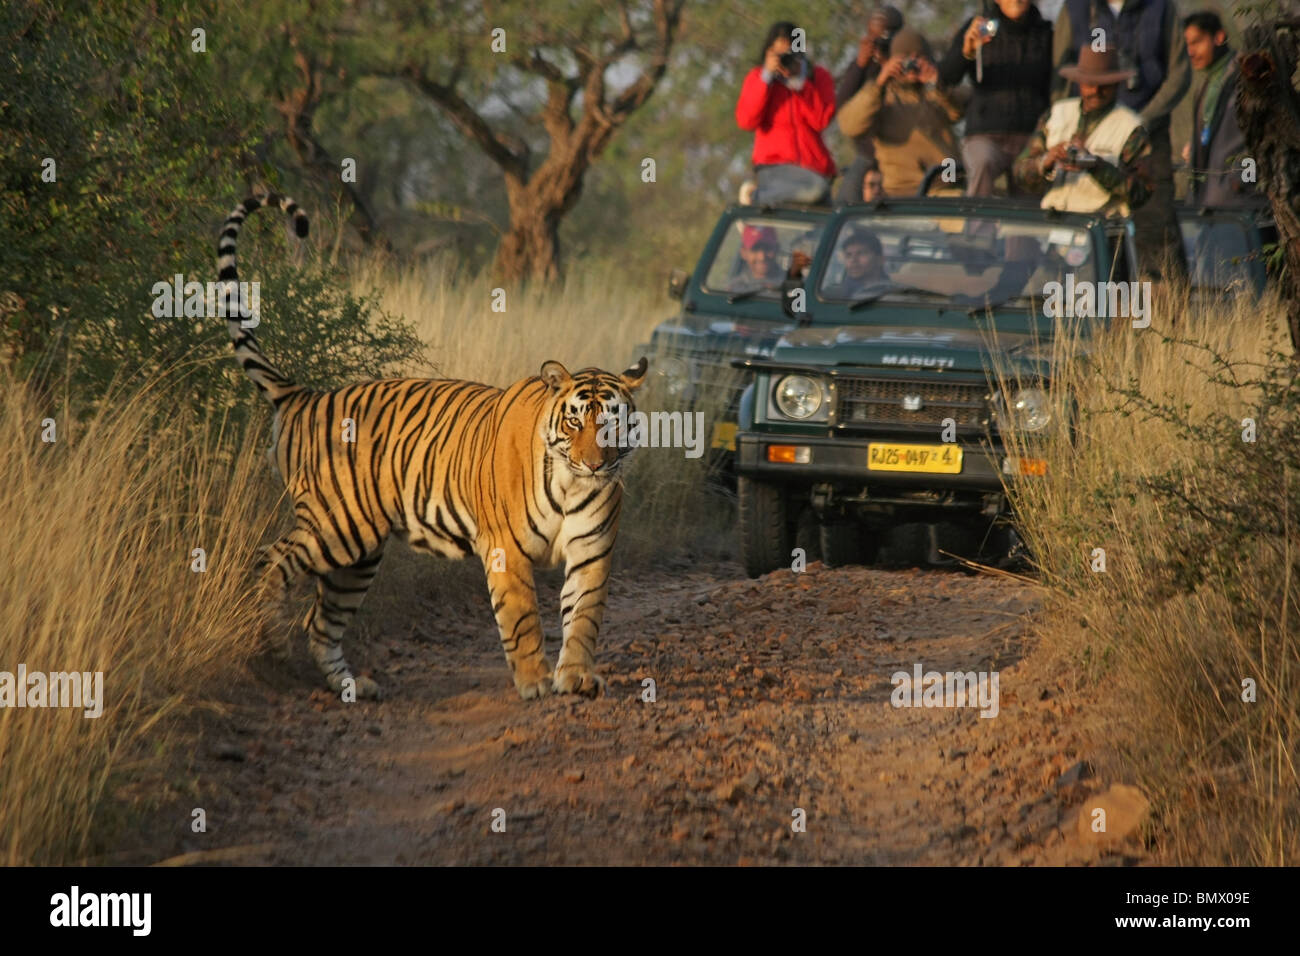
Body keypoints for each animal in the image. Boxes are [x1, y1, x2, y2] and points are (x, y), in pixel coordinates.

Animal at [219, 195, 655, 702]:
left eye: (612, 422)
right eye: (575, 421)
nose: (594, 464)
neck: (570, 482)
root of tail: (304, 396)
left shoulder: (591, 551)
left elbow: (584, 617)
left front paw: (578, 677)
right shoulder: (506, 550)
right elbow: (523, 619)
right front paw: (535, 682)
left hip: (360, 553)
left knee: (320, 621)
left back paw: (351, 686)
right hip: (337, 527)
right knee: (268, 559)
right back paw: (270, 638)